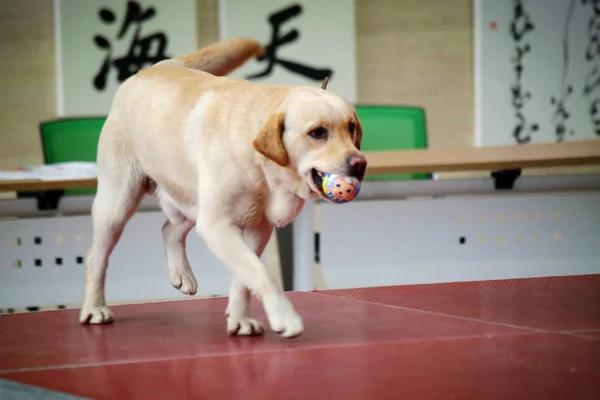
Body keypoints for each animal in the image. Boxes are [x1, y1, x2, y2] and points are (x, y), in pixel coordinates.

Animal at [81, 37, 366, 338]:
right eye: (317, 132)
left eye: (352, 128)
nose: (359, 163)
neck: (263, 166)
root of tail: (154, 67)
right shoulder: (217, 225)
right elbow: (260, 273)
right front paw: (285, 316)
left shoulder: (258, 228)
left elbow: (244, 278)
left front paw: (240, 318)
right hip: (118, 200)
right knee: (96, 256)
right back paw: (94, 308)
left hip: (190, 198)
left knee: (169, 228)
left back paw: (181, 274)